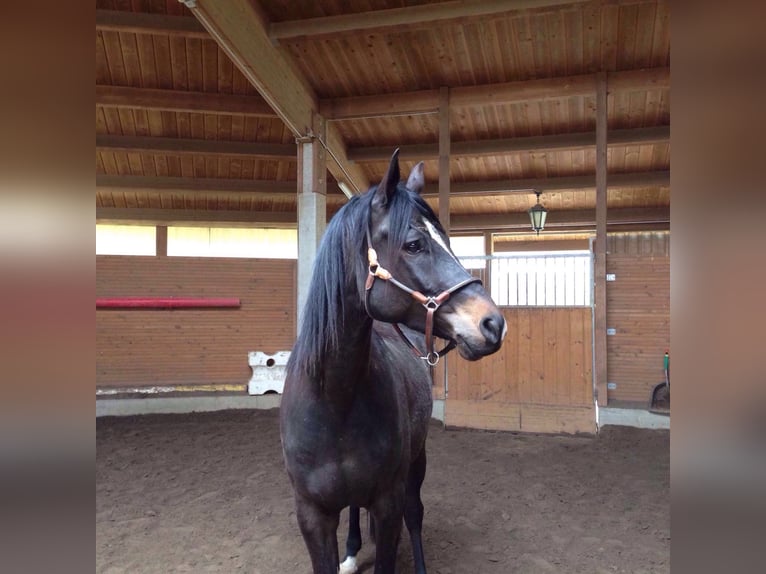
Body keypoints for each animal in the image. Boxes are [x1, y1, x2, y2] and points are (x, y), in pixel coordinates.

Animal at [280, 150, 506, 574]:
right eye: (414, 244)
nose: (493, 323)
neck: (334, 400)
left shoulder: (388, 505)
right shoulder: (313, 515)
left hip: (417, 462)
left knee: (415, 514)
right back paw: (352, 551)